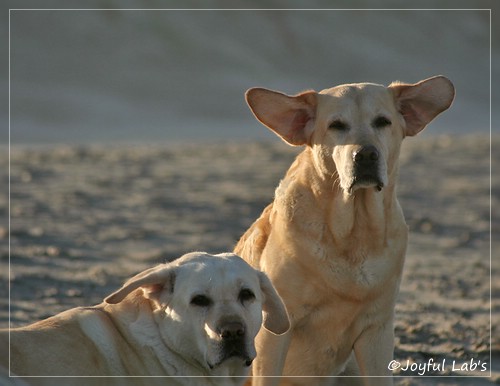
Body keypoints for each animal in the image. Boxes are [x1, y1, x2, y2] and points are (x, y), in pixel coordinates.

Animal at [234, 77, 454, 384]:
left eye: (382, 121)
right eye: (337, 125)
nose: (366, 155)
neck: (352, 234)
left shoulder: (377, 332)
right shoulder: (275, 331)